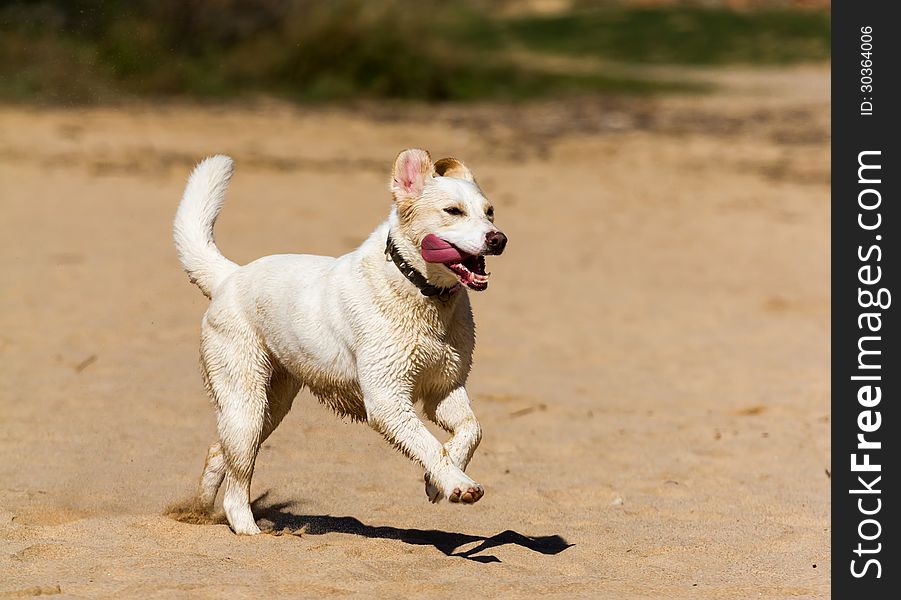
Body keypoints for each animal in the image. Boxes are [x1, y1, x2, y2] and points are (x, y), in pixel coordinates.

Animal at [172, 150, 502, 536]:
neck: (423, 293)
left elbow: (470, 432)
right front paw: (458, 485)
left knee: (216, 452)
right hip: (246, 405)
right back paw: (250, 530)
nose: (498, 239)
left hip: (271, 406)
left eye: (489, 211)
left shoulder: (445, 388)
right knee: (237, 484)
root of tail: (229, 276)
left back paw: (198, 511)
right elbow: (429, 445)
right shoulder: (387, 399)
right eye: (453, 211)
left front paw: (437, 483)